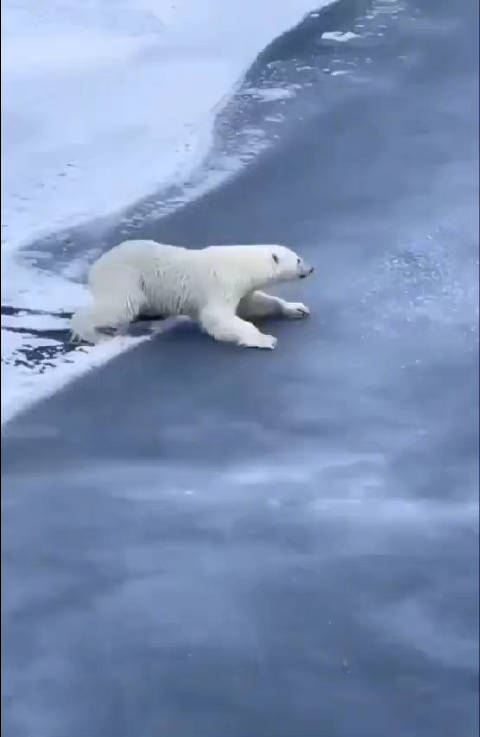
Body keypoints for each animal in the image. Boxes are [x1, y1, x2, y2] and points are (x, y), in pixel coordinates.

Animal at [70, 240, 314, 349]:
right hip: (125, 278)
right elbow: (218, 317)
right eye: (298, 259)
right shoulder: (221, 284)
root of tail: (95, 268)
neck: (241, 264)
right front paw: (265, 339)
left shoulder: (241, 289)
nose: (311, 268)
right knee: (118, 306)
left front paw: (297, 308)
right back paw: (93, 333)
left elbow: (253, 304)